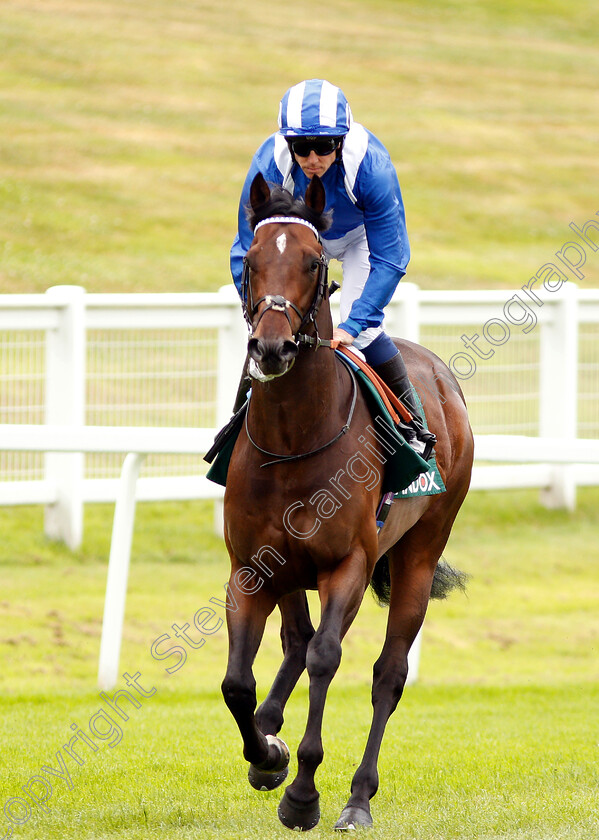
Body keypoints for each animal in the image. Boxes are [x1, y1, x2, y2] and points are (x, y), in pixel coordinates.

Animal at [220, 172, 474, 832]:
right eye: (250, 263)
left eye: (313, 263)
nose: (272, 348)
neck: (294, 438)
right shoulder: (251, 568)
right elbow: (237, 681)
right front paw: (268, 757)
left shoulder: (347, 565)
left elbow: (327, 658)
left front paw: (303, 793)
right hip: (294, 572)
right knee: (295, 642)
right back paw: (271, 733)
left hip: (418, 553)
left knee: (388, 673)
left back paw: (358, 797)